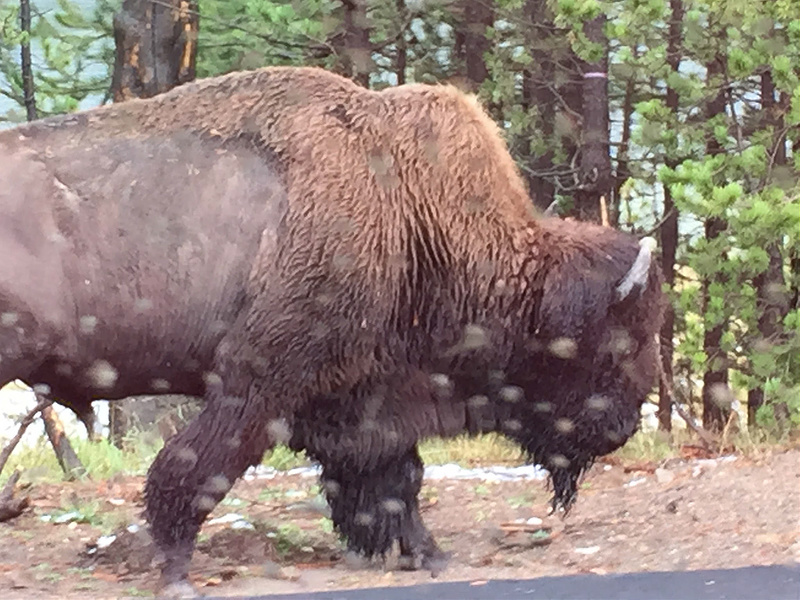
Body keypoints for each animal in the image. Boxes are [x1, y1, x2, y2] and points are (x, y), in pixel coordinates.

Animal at [0, 67, 664, 596]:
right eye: (618, 339)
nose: (624, 428)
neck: (408, 212)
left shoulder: (360, 394)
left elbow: (396, 481)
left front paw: (428, 555)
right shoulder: (258, 388)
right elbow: (194, 472)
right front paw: (176, 574)